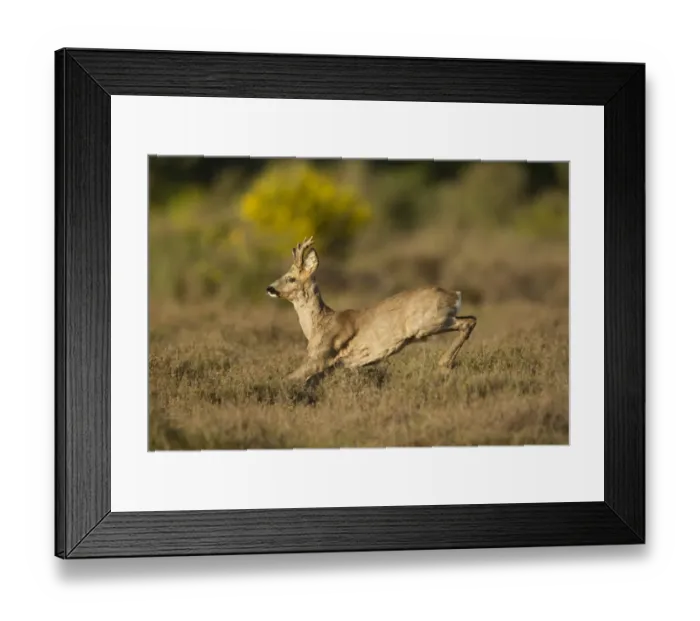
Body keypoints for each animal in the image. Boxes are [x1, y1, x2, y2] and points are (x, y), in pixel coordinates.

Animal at [266, 237, 477, 384]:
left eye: (291, 278)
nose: (270, 288)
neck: (319, 324)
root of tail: (454, 294)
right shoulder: (333, 366)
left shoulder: (321, 356)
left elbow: (288, 378)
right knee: (471, 318)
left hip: (429, 323)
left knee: (467, 322)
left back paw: (443, 364)